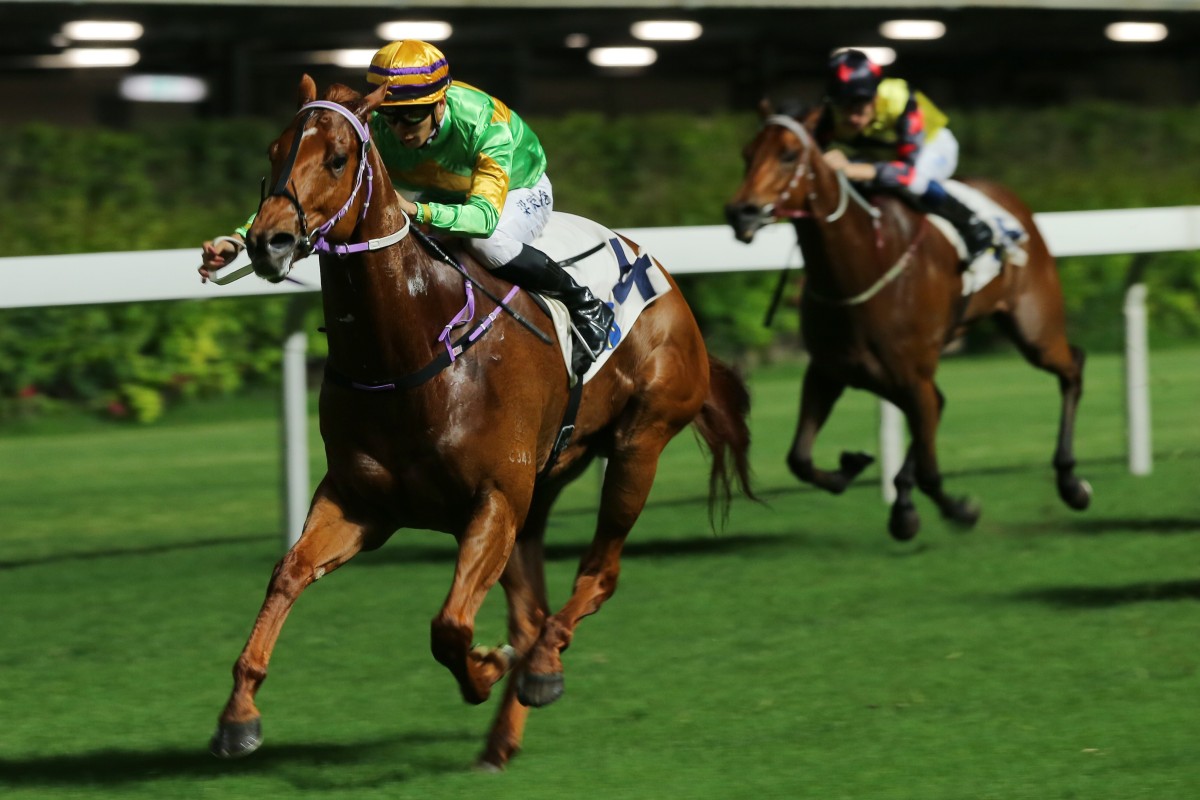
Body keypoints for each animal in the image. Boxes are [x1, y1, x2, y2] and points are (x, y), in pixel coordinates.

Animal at [205, 77, 748, 772]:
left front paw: (488, 668)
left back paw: (540, 668)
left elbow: (450, 627)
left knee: (597, 576)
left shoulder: (492, 499)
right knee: (534, 611)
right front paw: (238, 715)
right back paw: (503, 736)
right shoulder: (360, 501)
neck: (411, 352)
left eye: (336, 159)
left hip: (638, 444)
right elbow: (288, 574)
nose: (265, 242)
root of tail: (661, 273)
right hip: (539, 492)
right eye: (274, 152)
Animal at [724, 103, 1094, 542]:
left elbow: (932, 473)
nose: (741, 212)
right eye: (747, 154)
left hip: (1033, 330)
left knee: (1072, 366)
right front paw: (852, 469)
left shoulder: (912, 376)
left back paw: (1071, 483)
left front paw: (960, 511)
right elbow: (799, 458)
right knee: (941, 403)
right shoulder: (828, 370)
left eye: (788, 154)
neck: (860, 267)